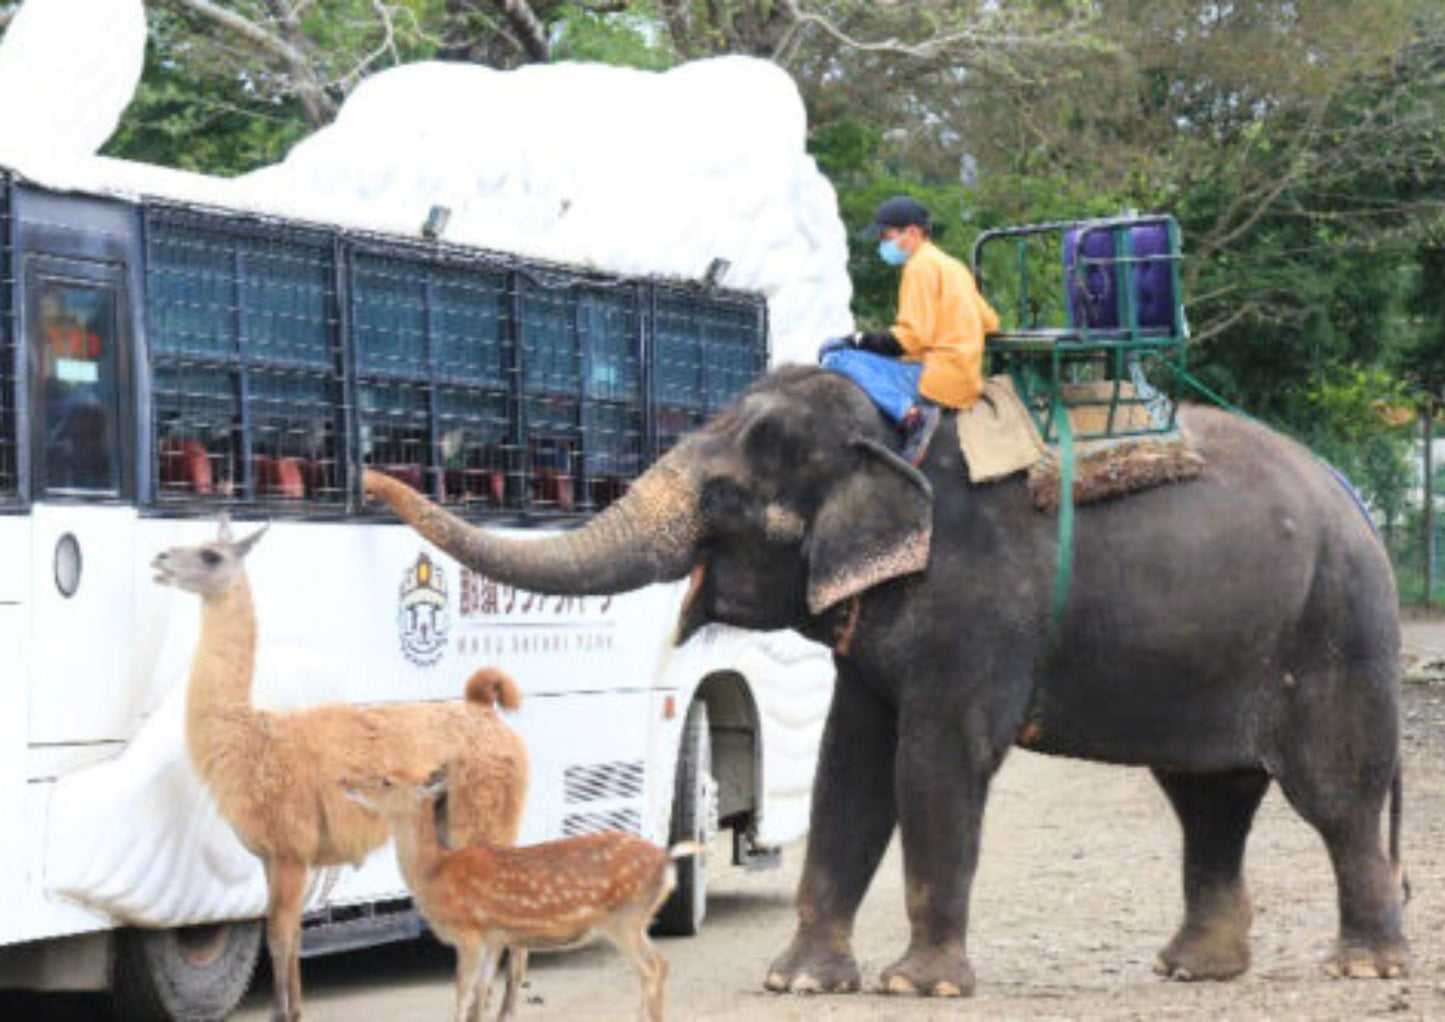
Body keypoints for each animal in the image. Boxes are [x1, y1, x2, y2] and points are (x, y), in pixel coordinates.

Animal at [364, 365, 1410, 1000]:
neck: (896, 434)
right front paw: (796, 982)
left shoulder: (975, 604)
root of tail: (1355, 501)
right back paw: (1194, 969)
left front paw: (920, 985)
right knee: (1209, 796)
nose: (376, 476)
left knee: (1333, 797)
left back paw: (1361, 968)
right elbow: (848, 767)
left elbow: (935, 762)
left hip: (1335, 630)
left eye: (726, 495)